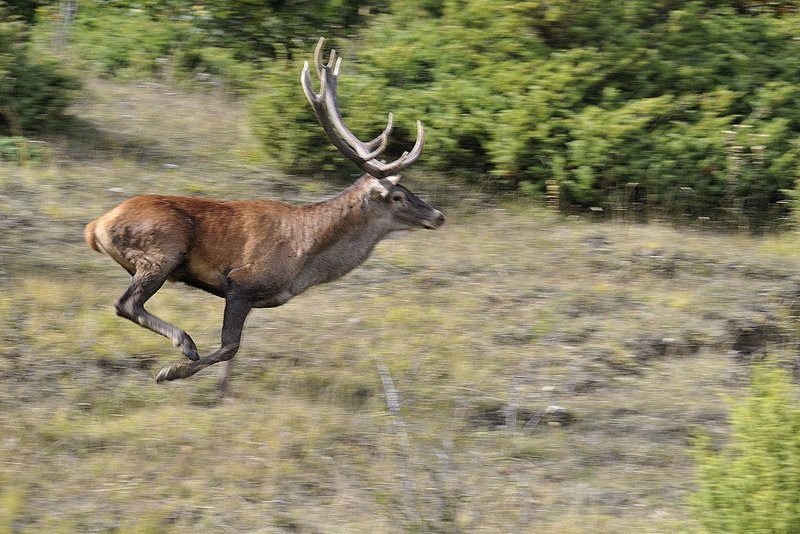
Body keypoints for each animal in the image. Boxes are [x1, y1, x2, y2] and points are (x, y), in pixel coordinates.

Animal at [85, 36, 446, 390]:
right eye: (398, 196)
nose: (438, 215)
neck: (305, 260)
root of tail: (95, 226)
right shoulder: (242, 282)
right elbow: (230, 347)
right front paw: (173, 371)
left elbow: (233, 352)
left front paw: (223, 390)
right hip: (161, 252)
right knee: (126, 303)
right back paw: (184, 344)